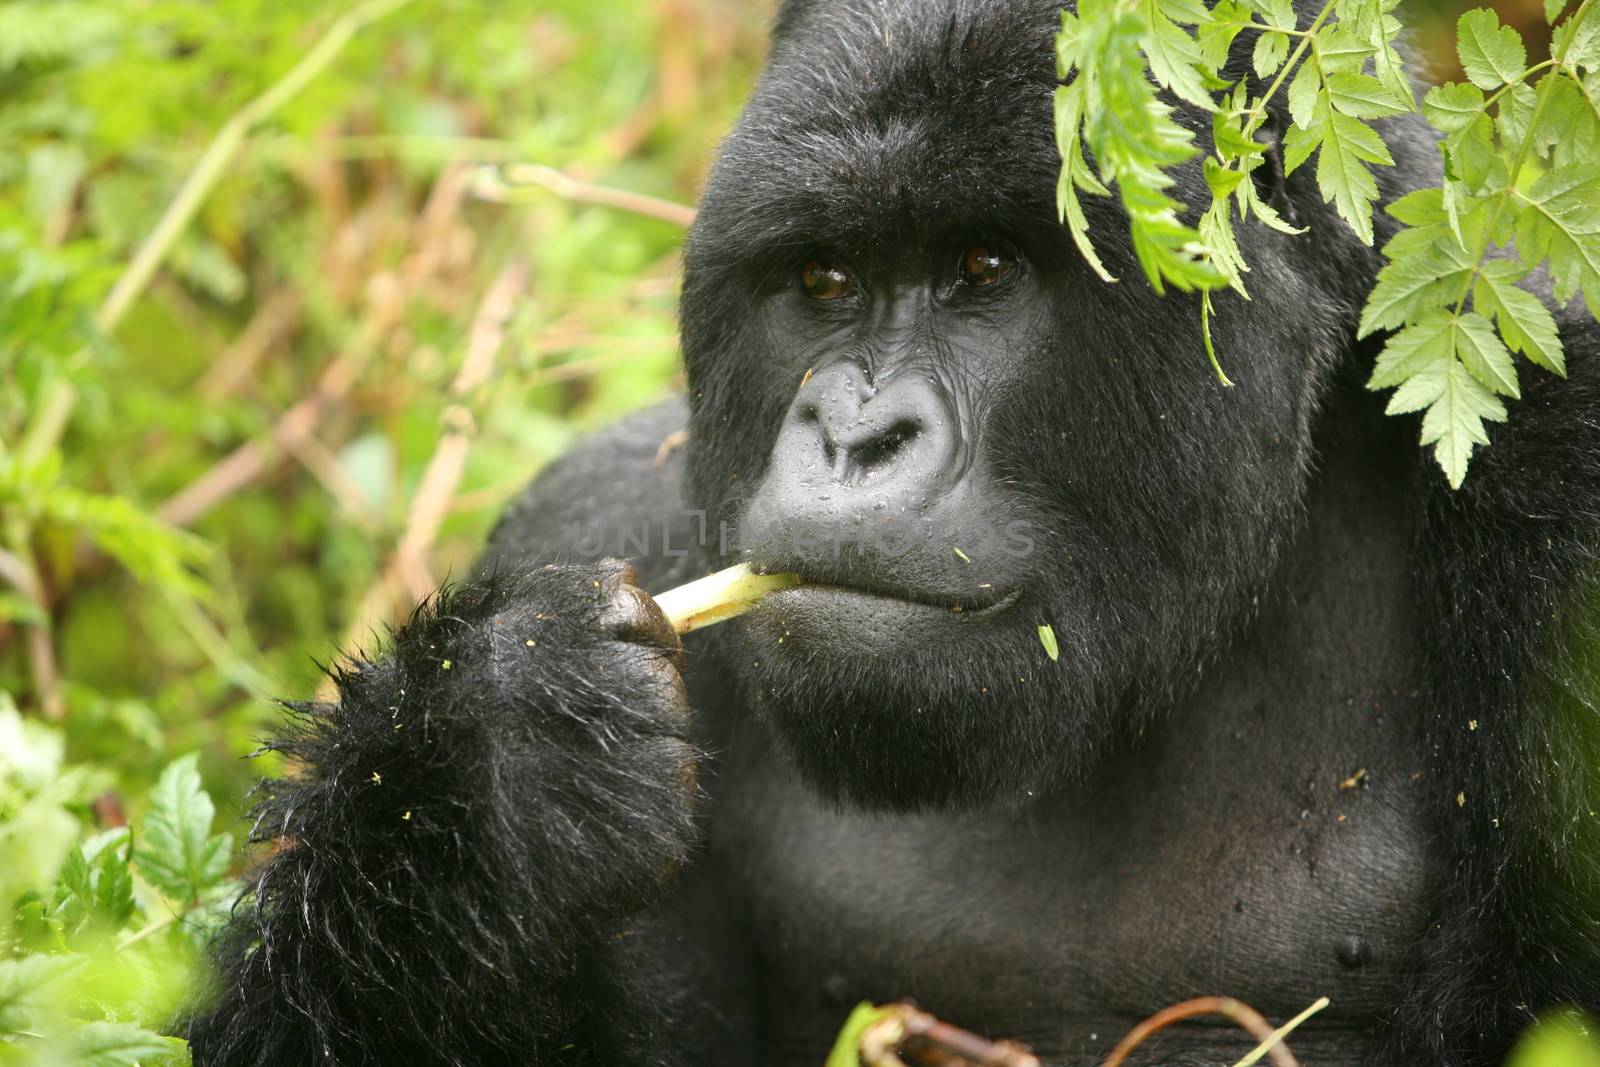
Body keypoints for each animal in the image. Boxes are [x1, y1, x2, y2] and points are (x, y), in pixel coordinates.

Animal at [187, 2, 1600, 1067]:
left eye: (986, 269)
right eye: (824, 281)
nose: (856, 437)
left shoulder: (1568, 487)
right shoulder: (594, 510)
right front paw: (479, 773)